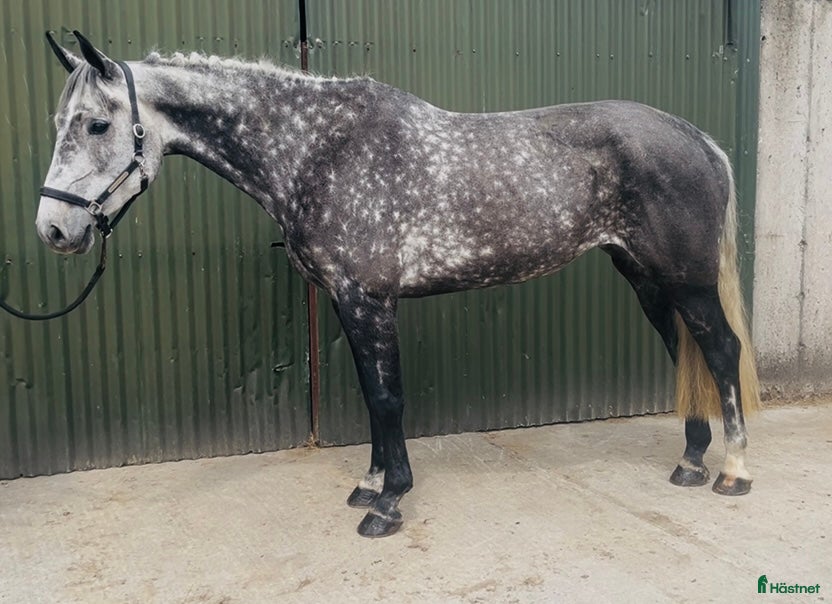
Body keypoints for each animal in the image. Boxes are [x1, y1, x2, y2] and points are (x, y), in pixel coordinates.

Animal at [34, 31, 759, 538]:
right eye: (57, 124)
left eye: (97, 124)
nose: (54, 229)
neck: (319, 151)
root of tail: (697, 138)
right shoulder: (346, 302)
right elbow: (369, 395)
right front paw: (371, 482)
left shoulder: (369, 301)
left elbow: (386, 399)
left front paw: (387, 503)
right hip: (647, 280)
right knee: (686, 353)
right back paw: (691, 461)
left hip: (687, 282)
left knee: (721, 352)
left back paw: (733, 472)